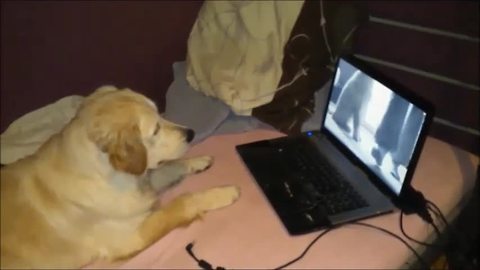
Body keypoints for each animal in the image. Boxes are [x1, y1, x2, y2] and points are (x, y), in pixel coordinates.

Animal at [0, 86, 240, 268]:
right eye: (155, 130)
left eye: (160, 114)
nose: (191, 133)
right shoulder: (130, 237)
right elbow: (182, 202)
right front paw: (223, 193)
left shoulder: (142, 185)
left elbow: (167, 168)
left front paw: (198, 161)